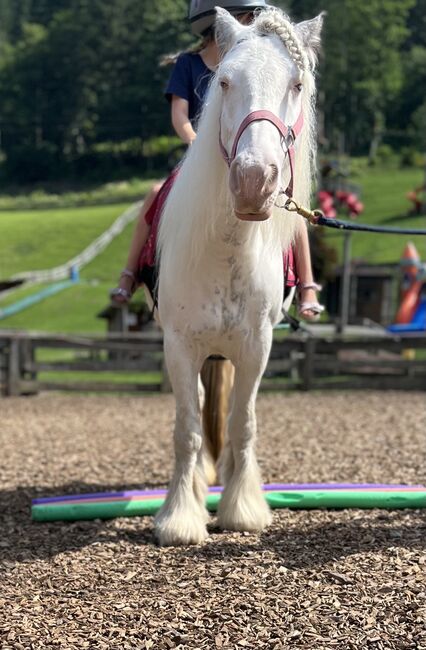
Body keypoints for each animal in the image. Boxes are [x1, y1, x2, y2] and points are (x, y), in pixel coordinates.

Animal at [155, 7, 322, 544]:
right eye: (225, 82)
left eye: (296, 85)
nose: (253, 182)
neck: (227, 251)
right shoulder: (180, 347)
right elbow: (187, 429)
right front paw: (179, 517)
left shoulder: (256, 346)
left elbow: (243, 423)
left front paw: (242, 508)